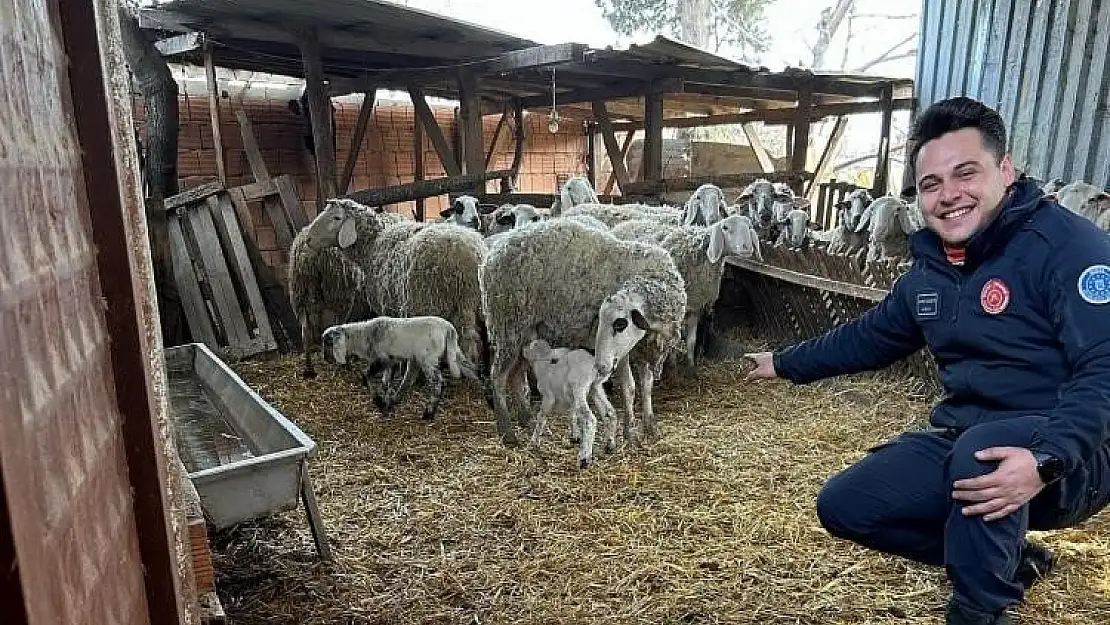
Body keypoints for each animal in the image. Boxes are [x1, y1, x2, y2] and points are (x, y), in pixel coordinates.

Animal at [317, 317, 481, 419]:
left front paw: (378, 401)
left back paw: (428, 414)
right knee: (473, 370)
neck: (364, 336)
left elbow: (366, 375)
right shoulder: (391, 362)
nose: (325, 359)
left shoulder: (382, 359)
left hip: (428, 358)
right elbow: (386, 382)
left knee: (437, 383)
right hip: (453, 352)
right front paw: (386, 402)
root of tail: (449, 329)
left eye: (328, 342)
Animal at [477, 218, 683, 444]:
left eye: (619, 324)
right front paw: (630, 432)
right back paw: (507, 431)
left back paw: (526, 419)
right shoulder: (622, 352)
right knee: (498, 376)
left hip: (527, 332)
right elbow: (629, 387)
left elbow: (646, 386)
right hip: (507, 327)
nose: (601, 366)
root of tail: (492, 254)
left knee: (515, 374)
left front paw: (650, 427)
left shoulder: (643, 346)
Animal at [608, 213, 763, 375]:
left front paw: (690, 365)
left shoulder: (695, 307)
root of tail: (628, 223)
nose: (746, 247)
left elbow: (691, 340)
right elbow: (676, 339)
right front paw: (673, 365)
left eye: (750, 227)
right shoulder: (678, 310)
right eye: (725, 227)